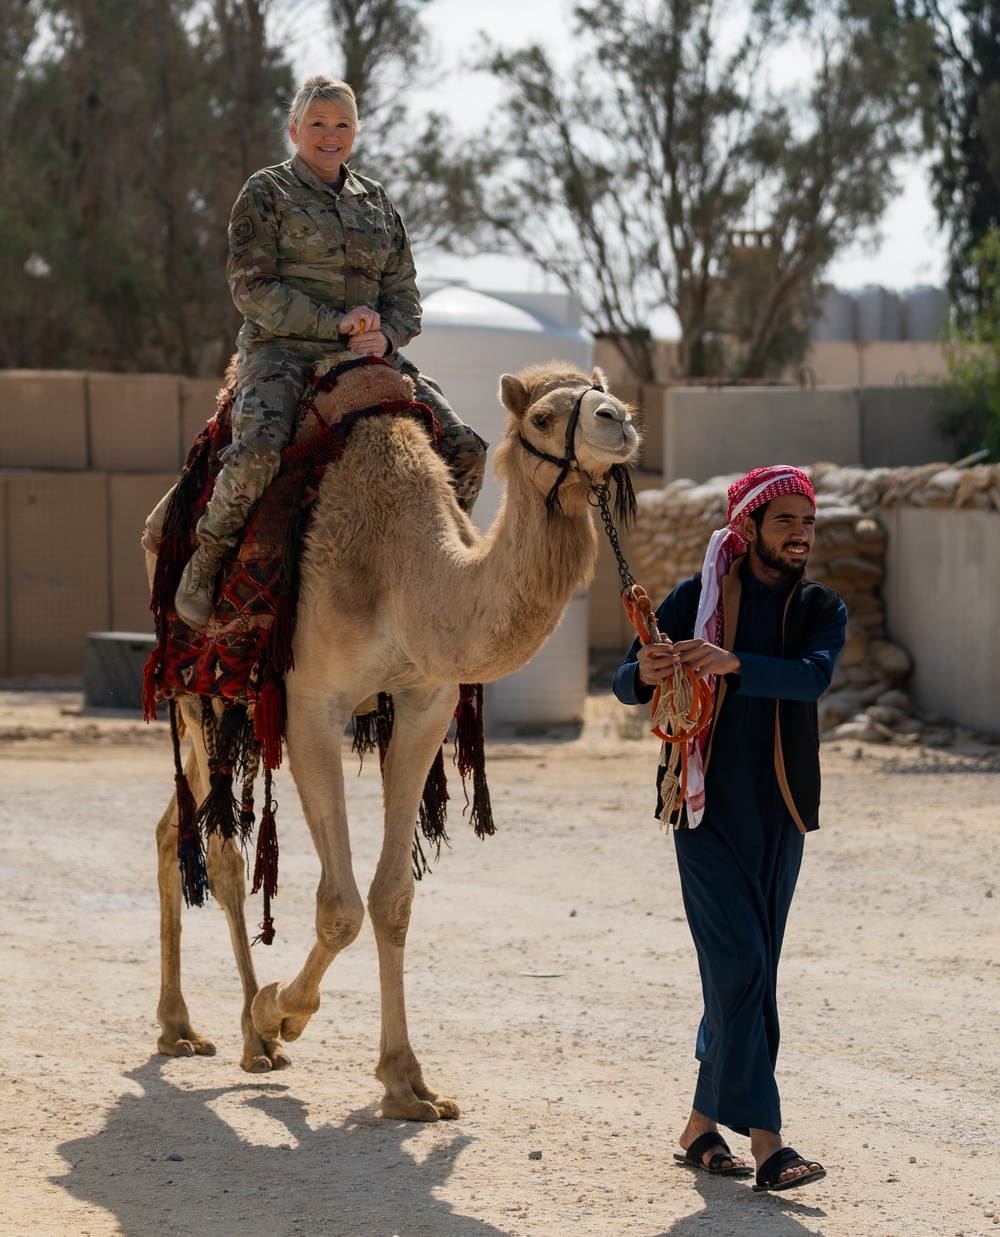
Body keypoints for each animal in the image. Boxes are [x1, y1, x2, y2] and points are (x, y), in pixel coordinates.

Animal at [153, 359, 638, 1120]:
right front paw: (280, 1012)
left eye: (606, 396)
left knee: (173, 827)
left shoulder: (424, 703)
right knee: (220, 851)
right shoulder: (309, 706)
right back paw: (235, 1035)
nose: (618, 422)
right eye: (541, 417)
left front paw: (407, 1084)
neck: (404, 573)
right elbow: (340, 907)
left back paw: (186, 1026)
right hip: (199, 693)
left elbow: (392, 899)